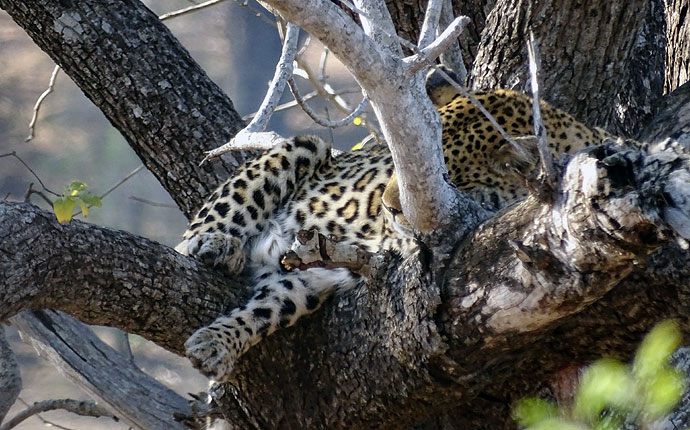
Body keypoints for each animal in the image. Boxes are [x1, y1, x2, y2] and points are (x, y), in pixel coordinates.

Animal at [175, 86, 612, 380]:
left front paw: (216, 343)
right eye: (399, 164)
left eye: (442, 180)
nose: (387, 207)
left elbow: (266, 310)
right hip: (307, 146)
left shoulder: (313, 272)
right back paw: (215, 243)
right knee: (205, 224)